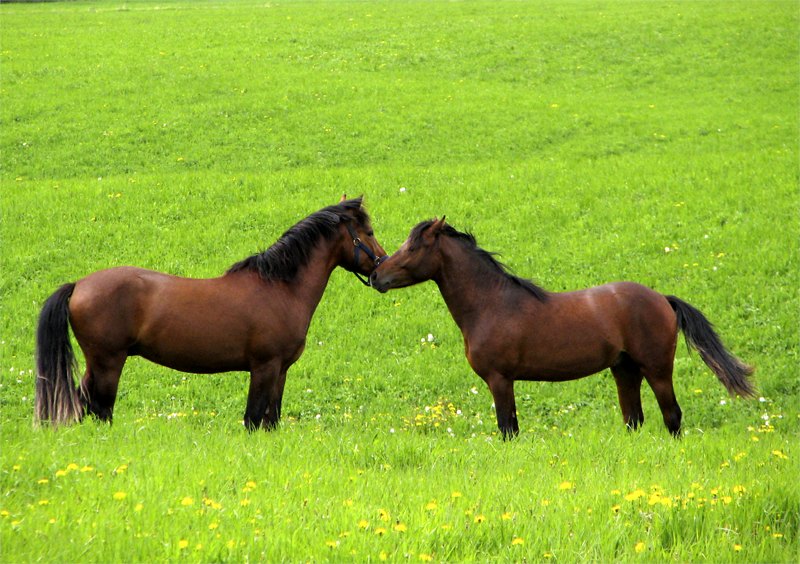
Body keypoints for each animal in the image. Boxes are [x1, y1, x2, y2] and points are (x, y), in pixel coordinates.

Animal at [35, 196, 388, 430]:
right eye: (369, 233)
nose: (381, 272)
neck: (280, 288)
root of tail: (79, 285)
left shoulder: (280, 371)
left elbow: (271, 420)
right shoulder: (264, 368)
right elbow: (253, 418)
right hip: (108, 363)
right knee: (99, 408)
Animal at [370, 218, 756, 438]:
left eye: (413, 246)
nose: (376, 275)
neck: (491, 303)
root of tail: (662, 298)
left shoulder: (500, 380)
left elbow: (508, 429)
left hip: (657, 369)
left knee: (671, 416)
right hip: (624, 370)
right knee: (633, 418)